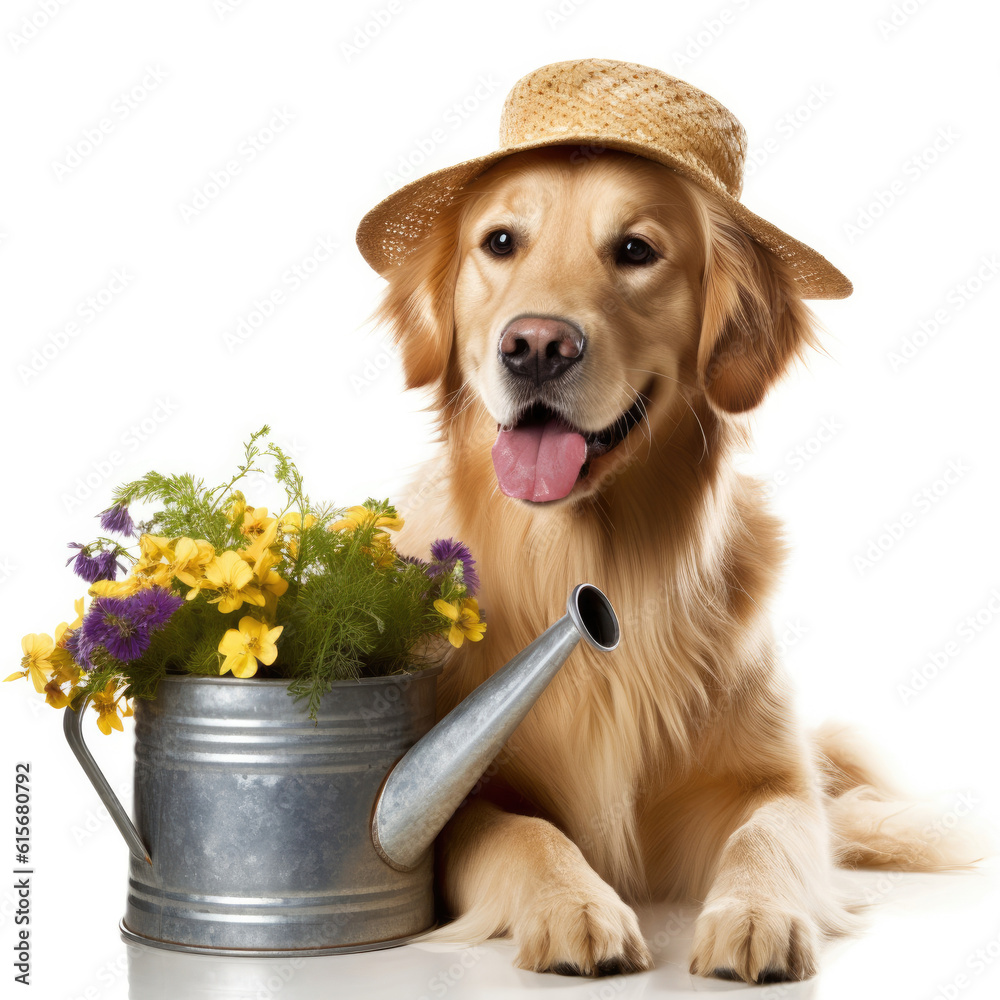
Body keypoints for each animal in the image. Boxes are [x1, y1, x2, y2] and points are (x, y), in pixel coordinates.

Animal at [358, 58, 976, 980]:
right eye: (501, 242)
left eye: (635, 251)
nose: (535, 346)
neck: (594, 550)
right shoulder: (451, 787)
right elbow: (520, 831)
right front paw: (575, 907)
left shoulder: (768, 778)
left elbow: (774, 830)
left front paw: (756, 916)